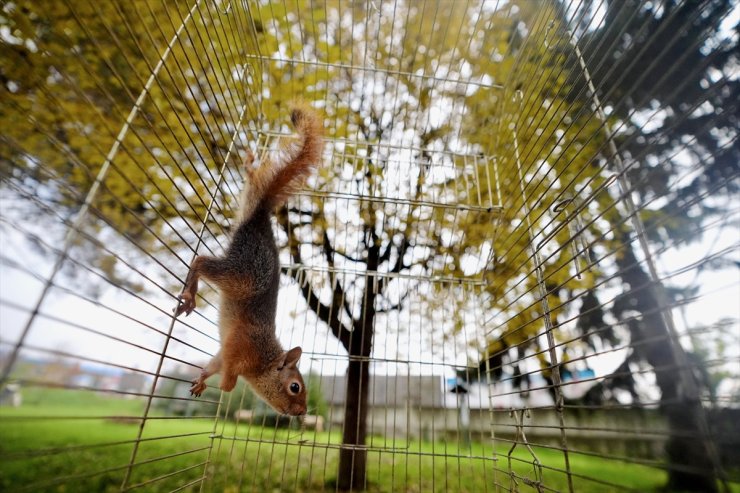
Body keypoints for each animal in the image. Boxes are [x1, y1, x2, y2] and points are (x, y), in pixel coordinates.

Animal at [175, 104, 326, 416]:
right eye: (295, 387)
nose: (302, 412)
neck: (263, 359)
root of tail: (259, 219)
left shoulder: (223, 354)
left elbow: (213, 365)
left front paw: (202, 380)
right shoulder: (238, 346)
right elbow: (228, 378)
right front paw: (225, 386)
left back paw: (249, 167)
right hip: (243, 275)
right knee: (200, 260)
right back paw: (190, 295)